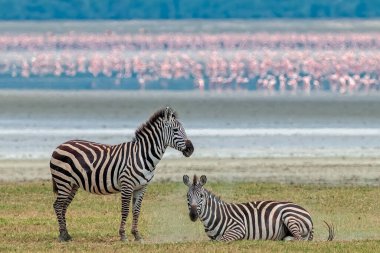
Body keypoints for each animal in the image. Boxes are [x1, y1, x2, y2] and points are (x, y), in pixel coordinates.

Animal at [50, 106, 193, 241]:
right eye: (176, 130)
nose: (191, 149)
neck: (142, 155)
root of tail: (60, 145)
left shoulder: (142, 187)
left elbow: (136, 211)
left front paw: (136, 235)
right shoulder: (127, 185)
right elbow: (125, 211)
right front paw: (123, 235)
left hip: (73, 184)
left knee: (63, 206)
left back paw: (67, 234)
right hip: (63, 181)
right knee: (57, 205)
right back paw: (62, 235)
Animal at [183, 174, 334, 241]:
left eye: (201, 196)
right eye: (187, 196)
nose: (193, 215)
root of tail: (306, 211)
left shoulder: (238, 229)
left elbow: (222, 240)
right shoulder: (211, 238)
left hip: (289, 216)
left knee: (298, 239)